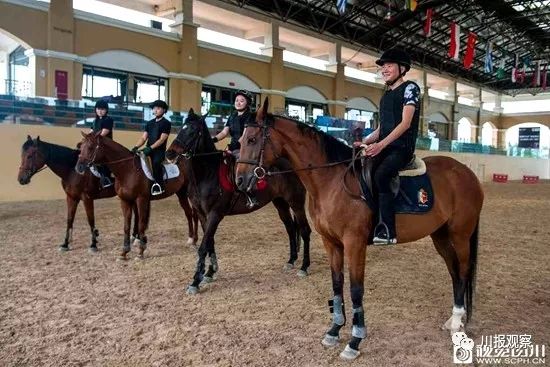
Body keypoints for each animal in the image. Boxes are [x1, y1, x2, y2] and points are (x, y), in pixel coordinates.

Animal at [75, 132, 198, 262]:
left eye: (90, 147)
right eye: (81, 147)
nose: (79, 167)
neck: (128, 170)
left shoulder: (141, 200)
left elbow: (141, 224)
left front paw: (140, 252)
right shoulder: (125, 201)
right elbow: (126, 226)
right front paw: (124, 252)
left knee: (194, 214)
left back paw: (194, 240)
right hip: (181, 193)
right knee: (189, 213)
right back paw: (191, 239)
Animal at [164, 108, 312, 294]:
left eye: (192, 131)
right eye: (181, 128)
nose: (169, 154)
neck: (207, 173)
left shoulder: (215, 214)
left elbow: (204, 246)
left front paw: (195, 281)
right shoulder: (203, 215)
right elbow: (210, 242)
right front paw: (210, 272)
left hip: (296, 202)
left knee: (305, 230)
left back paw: (304, 267)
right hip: (280, 203)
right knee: (291, 228)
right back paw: (291, 261)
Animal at [235, 99, 486, 360]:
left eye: (252, 139)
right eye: (241, 140)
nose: (240, 181)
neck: (331, 180)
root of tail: (467, 172)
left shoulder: (354, 243)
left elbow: (356, 289)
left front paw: (355, 341)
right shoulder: (331, 242)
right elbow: (337, 284)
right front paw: (334, 330)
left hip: (460, 235)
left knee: (463, 270)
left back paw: (457, 323)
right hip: (440, 236)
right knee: (454, 272)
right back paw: (454, 318)